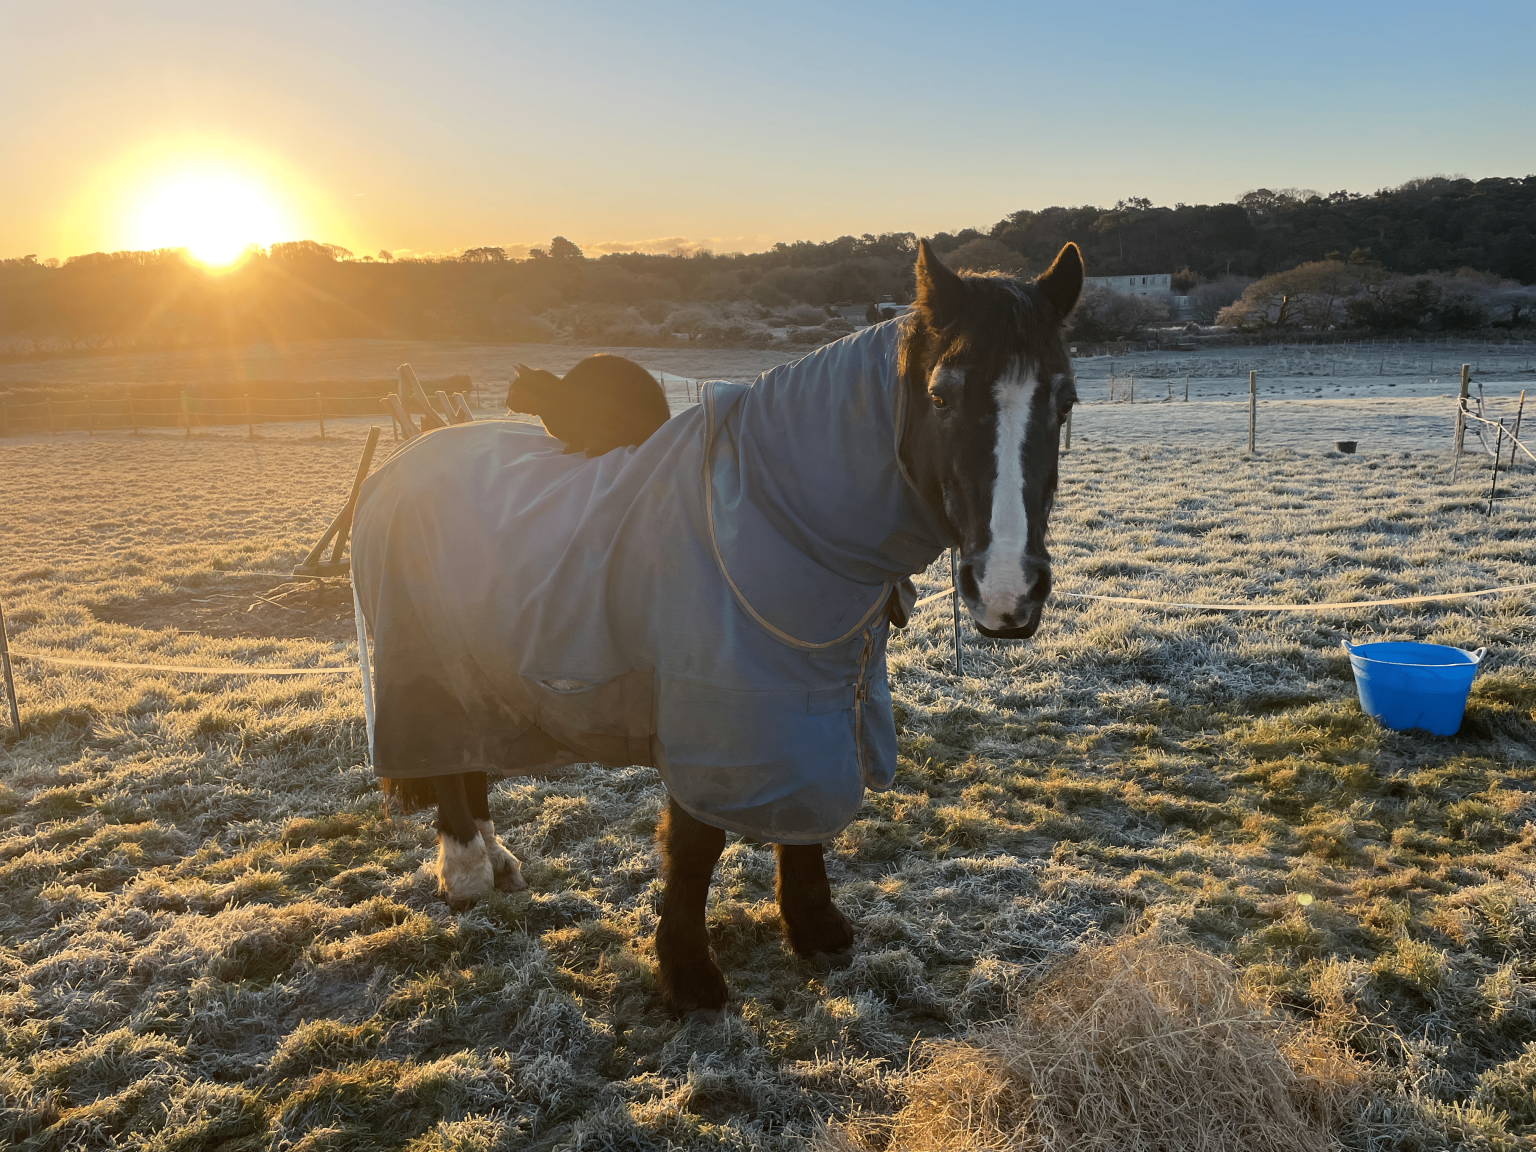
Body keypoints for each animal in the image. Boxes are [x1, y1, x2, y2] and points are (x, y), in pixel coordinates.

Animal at [350, 238, 1082, 1015]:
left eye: (1064, 400)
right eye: (941, 396)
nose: (1008, 590)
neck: (775, 519)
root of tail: (394, 468)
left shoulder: (817, 702)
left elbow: (808, 813)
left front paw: (814, 926)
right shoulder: (711, 715)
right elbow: (696, 845)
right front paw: (688, 972)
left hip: (478, 673)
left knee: (469, 761)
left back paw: (496, 863)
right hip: (423, 666)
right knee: (447, 768)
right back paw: (464, 873)